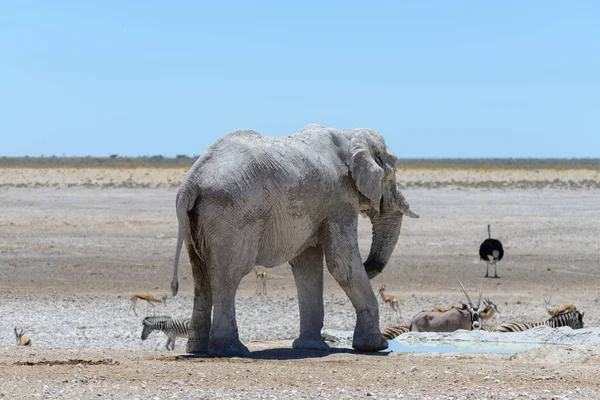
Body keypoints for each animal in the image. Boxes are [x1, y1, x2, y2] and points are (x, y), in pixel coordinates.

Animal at [171, 125, 420, 356]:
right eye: (392, 173)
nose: (370, 266)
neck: (350, 135)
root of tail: (190, 183)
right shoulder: (339, 200)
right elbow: (342, 265)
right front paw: (375, 346)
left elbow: (307, 267)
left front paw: (311, 347)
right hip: (231, 216)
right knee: (228, 275)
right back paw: (232, 350)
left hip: (199, 220)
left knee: (201, 276)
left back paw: (197, 350)